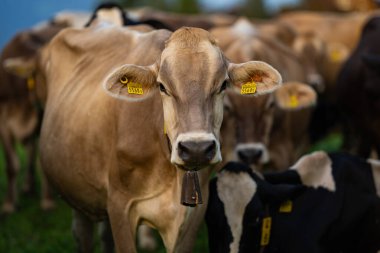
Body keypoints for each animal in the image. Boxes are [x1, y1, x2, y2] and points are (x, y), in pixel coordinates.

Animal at [17, 24, 282, 253]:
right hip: (78, 194)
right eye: (162, 87)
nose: (196, 148)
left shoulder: (194, 214)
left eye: (223, 85)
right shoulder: (120, 206)